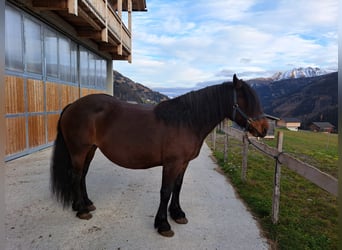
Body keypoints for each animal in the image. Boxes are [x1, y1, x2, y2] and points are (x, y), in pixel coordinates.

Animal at [51, 73, 270, 236]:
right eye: (245, 101)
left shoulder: (183, 163)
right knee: (76, 176)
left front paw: (177, 214)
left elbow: (177, 188)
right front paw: (163, 224)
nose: (264, 129)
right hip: (79, 150)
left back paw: (86, 204)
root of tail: (72, 106)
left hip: (90, 149)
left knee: (82, 175)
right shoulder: (172, 163)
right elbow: (166, 191)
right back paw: (81, 209)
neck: (186, 121)